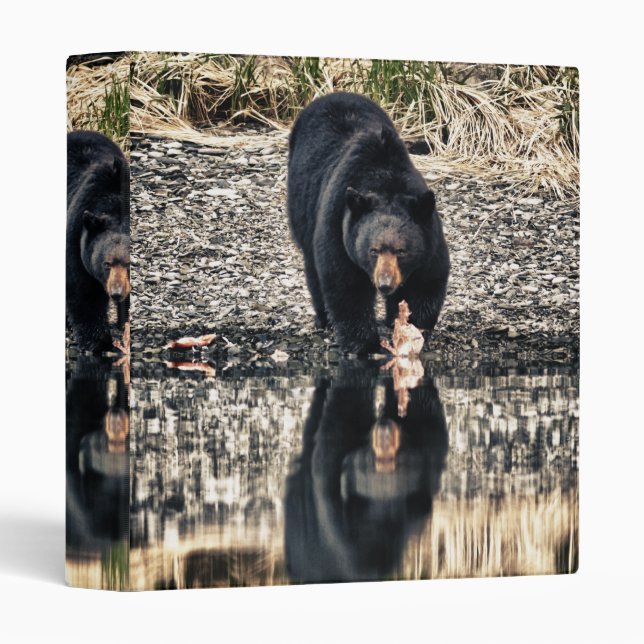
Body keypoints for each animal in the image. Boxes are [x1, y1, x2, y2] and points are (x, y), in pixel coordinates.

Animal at [67, 131, 130, 352]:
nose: (116, 293)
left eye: (129, 265)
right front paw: (100, 343)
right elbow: (83, 293)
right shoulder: (77, 237)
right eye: (106, 263)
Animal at [287, 92, 450, 355]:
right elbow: (346, 286)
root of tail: (334, 94)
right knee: (312, 263)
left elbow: (425, 282)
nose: (384, 284)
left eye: (401, 251)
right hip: (302, 206)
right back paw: (324, 318)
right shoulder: (339, 225)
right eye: (373, 250)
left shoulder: (429, 235)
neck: (385, 178)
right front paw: (365, 345)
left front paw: (413, 331)